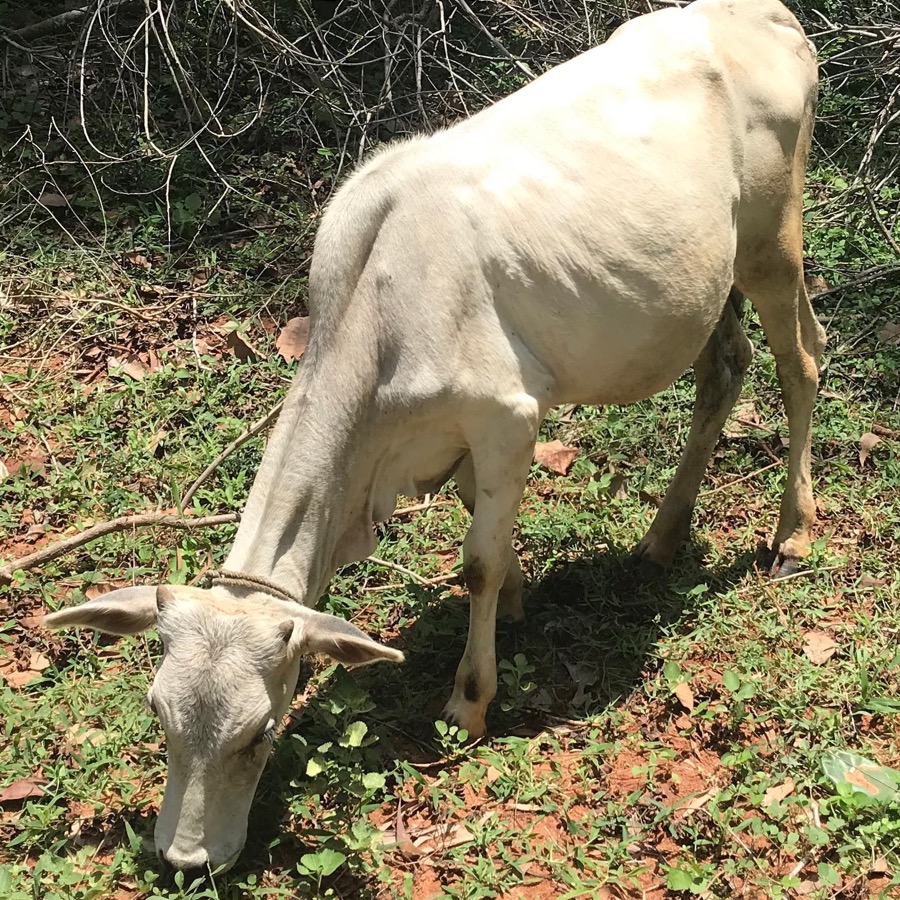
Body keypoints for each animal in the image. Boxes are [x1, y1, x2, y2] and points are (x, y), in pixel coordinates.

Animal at [44, 0, 824, 874]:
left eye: (261, 733)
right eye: (159, 716)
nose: (186, 860)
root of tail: (764, 15)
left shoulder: (508, 414)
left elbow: (476, 563)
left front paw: (469, 699)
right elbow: (486, 528)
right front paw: (517, 600)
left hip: (772, 238)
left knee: (803, 360)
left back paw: (793, 531)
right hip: (710, 281)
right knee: (725, 369)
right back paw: (662, 536)